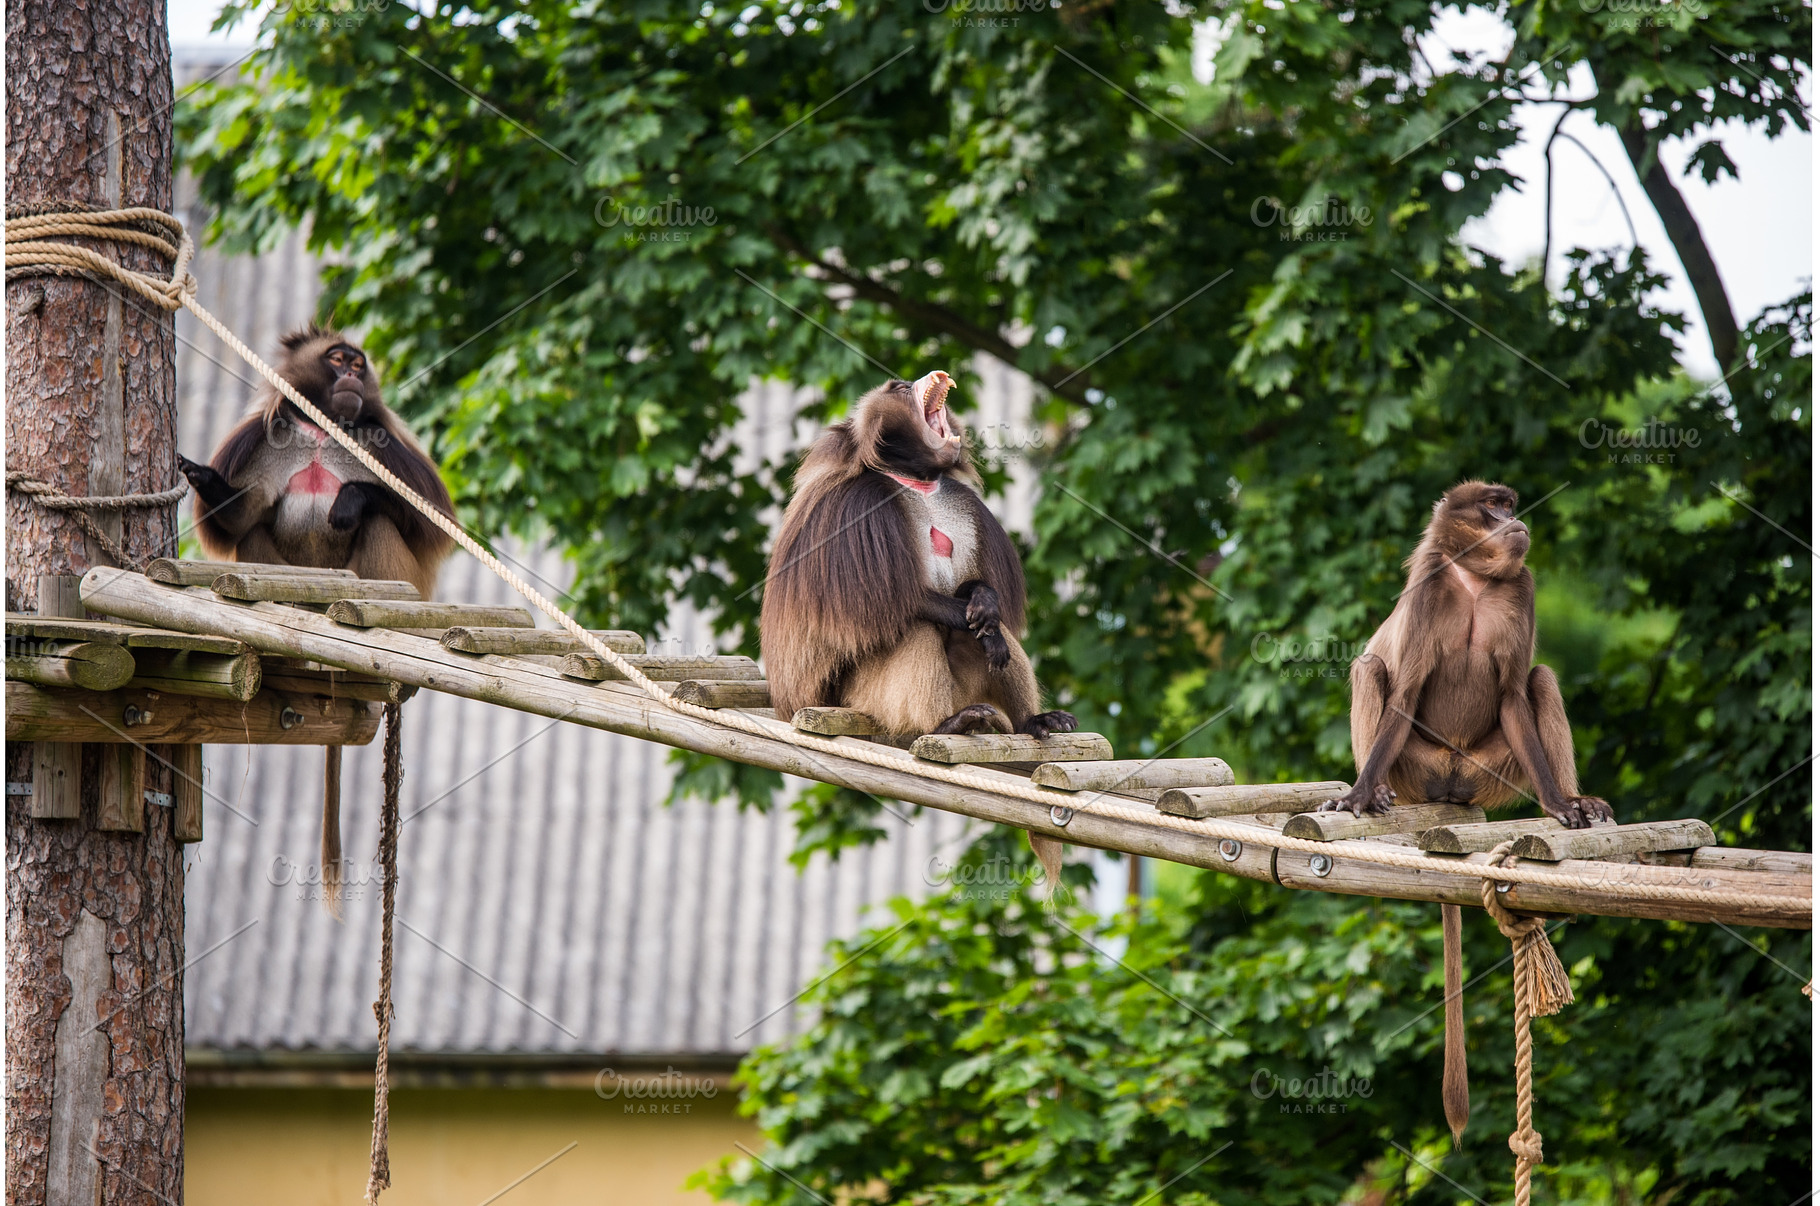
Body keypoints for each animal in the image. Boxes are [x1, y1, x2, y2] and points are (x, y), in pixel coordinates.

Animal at [179, 325, 455, 917]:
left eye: (358, 363)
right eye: (337, 359)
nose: (352, 376)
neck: (324, 429)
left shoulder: (383, 441)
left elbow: (426, 524)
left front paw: (350, 497)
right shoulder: (259, 441)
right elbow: (239, 519)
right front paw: (206, 481)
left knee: (379, 521)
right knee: (253, 536)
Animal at [760, 371, 1077, 884]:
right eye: (897, 386)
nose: (933, 376)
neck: (918, 482)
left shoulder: (962, 504)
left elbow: (980, 597)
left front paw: (984, 601)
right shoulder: (858, 510)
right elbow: (892, 604)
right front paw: (970, 618)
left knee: (990, 638)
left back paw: (1034, 720)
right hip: (858, 698)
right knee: (916, 628)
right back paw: (944, 724)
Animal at [1320, 480, 1612, 1146]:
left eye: (1510, 505)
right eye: (1493, 506)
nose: (1514, 520)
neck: (1475, 579)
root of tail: (1450, 793)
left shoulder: (1521, 586)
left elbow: (1512, 693)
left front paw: (1560, 804)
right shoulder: (1430, 587)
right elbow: (1403, 691)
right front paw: (1355, 797)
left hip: (1487, 771)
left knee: (1539, 679)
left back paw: (1571, 798)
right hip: (1416, 766)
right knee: (1369, 667)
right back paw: (1375, 793)